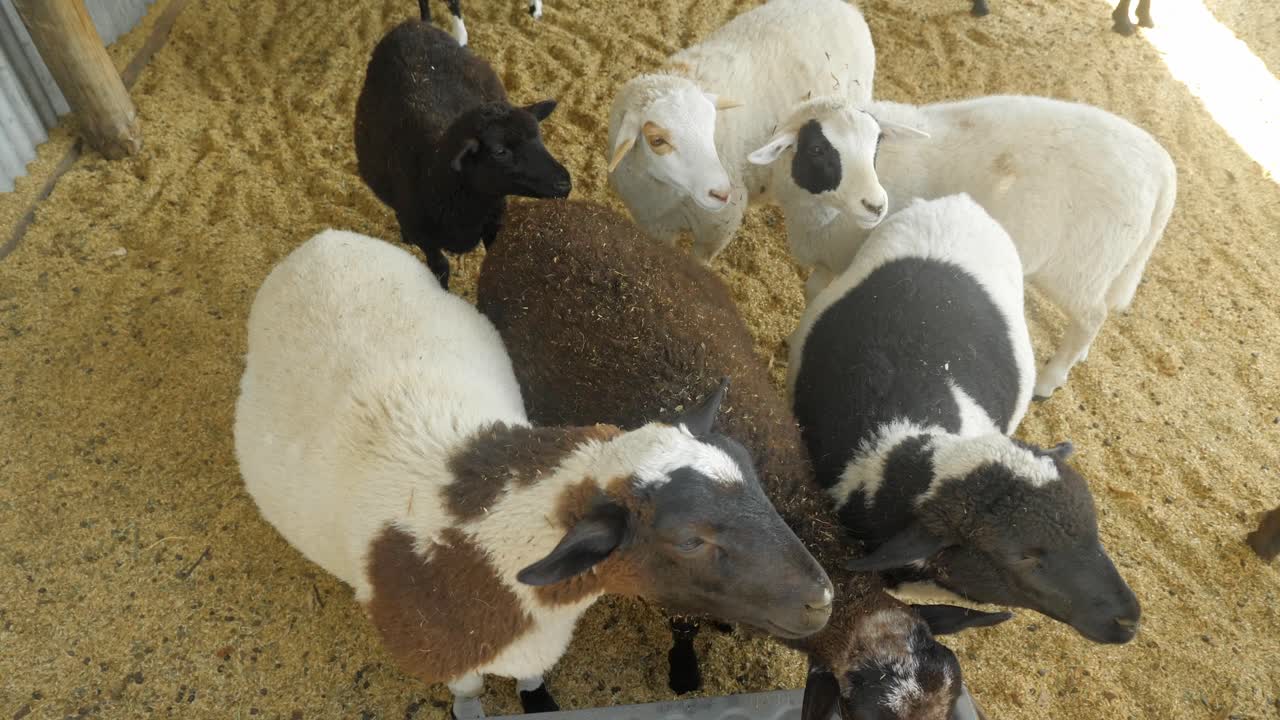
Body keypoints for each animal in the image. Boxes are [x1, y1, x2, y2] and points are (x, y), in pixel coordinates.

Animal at [234, 228, 838, 719]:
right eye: (689, 540)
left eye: (752, 472)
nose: (822, 599)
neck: (479, 543)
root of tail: (324, 241)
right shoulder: (447, 658)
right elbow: (468, 692)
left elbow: (531, 681)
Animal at [354, 11, 571, 290]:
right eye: (500, 152)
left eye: (539, 136)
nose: (565, 182)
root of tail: (412, 25)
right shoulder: (426, 239)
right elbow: (440, 268)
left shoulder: (493, 223)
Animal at [476, 199, 1012, 720]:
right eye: (858, 714)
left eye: (948, 705)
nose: (819, 604)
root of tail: (531, 212)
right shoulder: (676, 592)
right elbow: (684, 629)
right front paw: (684, 672)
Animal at [606, 0, 874, 263]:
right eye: (657, 140)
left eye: (711, 125)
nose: (722, 192)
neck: (664, 194)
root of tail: (851, 9)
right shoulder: (656, 227)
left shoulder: (718, 229)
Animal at [749, 94, 1177, 398]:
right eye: (818, 149)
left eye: (875, 147)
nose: (876, 205)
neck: (817, 212)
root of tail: (1162, 168)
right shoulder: (827, 253)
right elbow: (812, 292)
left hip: (1080, 266)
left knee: (1092, 317)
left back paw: (1049, 380)